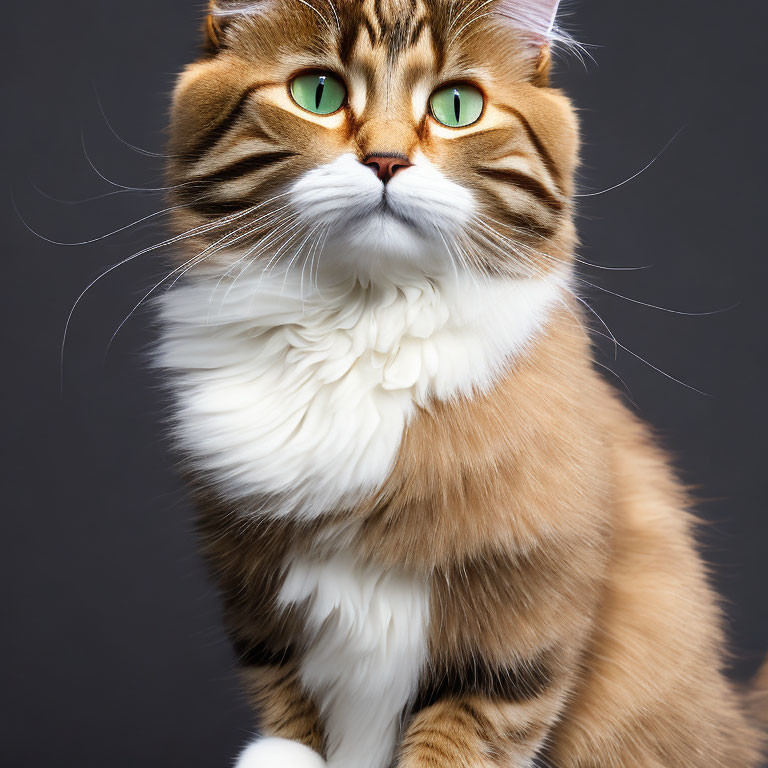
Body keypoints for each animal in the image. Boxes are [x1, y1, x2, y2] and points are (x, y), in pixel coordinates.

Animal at [156, 1, 768, 768]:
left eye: (455, 107)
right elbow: (291, 723)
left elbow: (455, 743)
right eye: (318, 94)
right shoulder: (260, 610)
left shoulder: (513, 642)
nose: (386, 160)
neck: (360, 330)